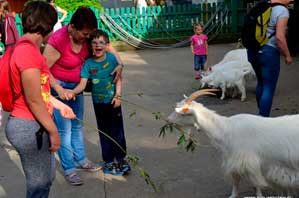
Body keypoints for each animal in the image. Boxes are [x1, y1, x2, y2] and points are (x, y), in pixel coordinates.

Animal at [169, 89, 299, 197]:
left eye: (180, 113)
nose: (168, 119)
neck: (225, 130)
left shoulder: (248, 162)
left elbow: (254, 183)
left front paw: (258, 195)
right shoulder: (234, 161)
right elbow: (236, 180)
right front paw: (233, 195)